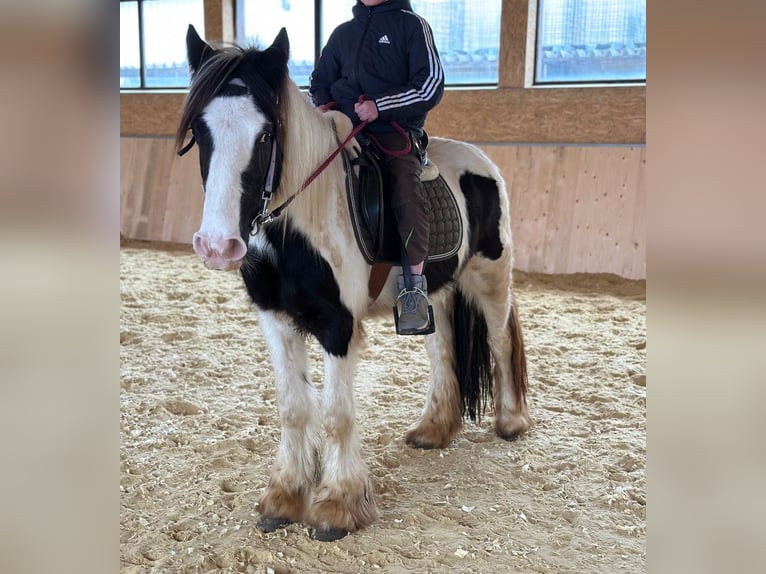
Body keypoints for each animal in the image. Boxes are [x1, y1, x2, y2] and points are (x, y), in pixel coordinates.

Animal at [176, 23, 532, 544]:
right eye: (200, 132)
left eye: (266, 134)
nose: (217, 245)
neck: (301, 226)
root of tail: (481, 162)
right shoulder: (276, 322)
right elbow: (293, 408)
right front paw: (283, 499)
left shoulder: (338, 327)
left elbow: (336, 415)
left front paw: (338, 507)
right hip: (436, 294)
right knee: (442, 352)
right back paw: (433, 429)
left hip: (491, 277)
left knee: (501, 341)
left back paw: (511, 422)